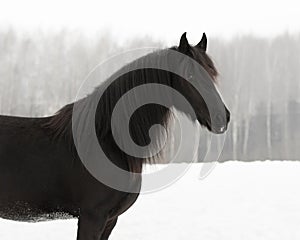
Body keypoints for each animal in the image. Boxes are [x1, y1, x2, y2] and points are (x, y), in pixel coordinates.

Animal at [0, 32, 231, 239]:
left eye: (212, 74)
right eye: (190, 75)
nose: (222, 117)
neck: (107, 140)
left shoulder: (111, 219)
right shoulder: (92, 218)